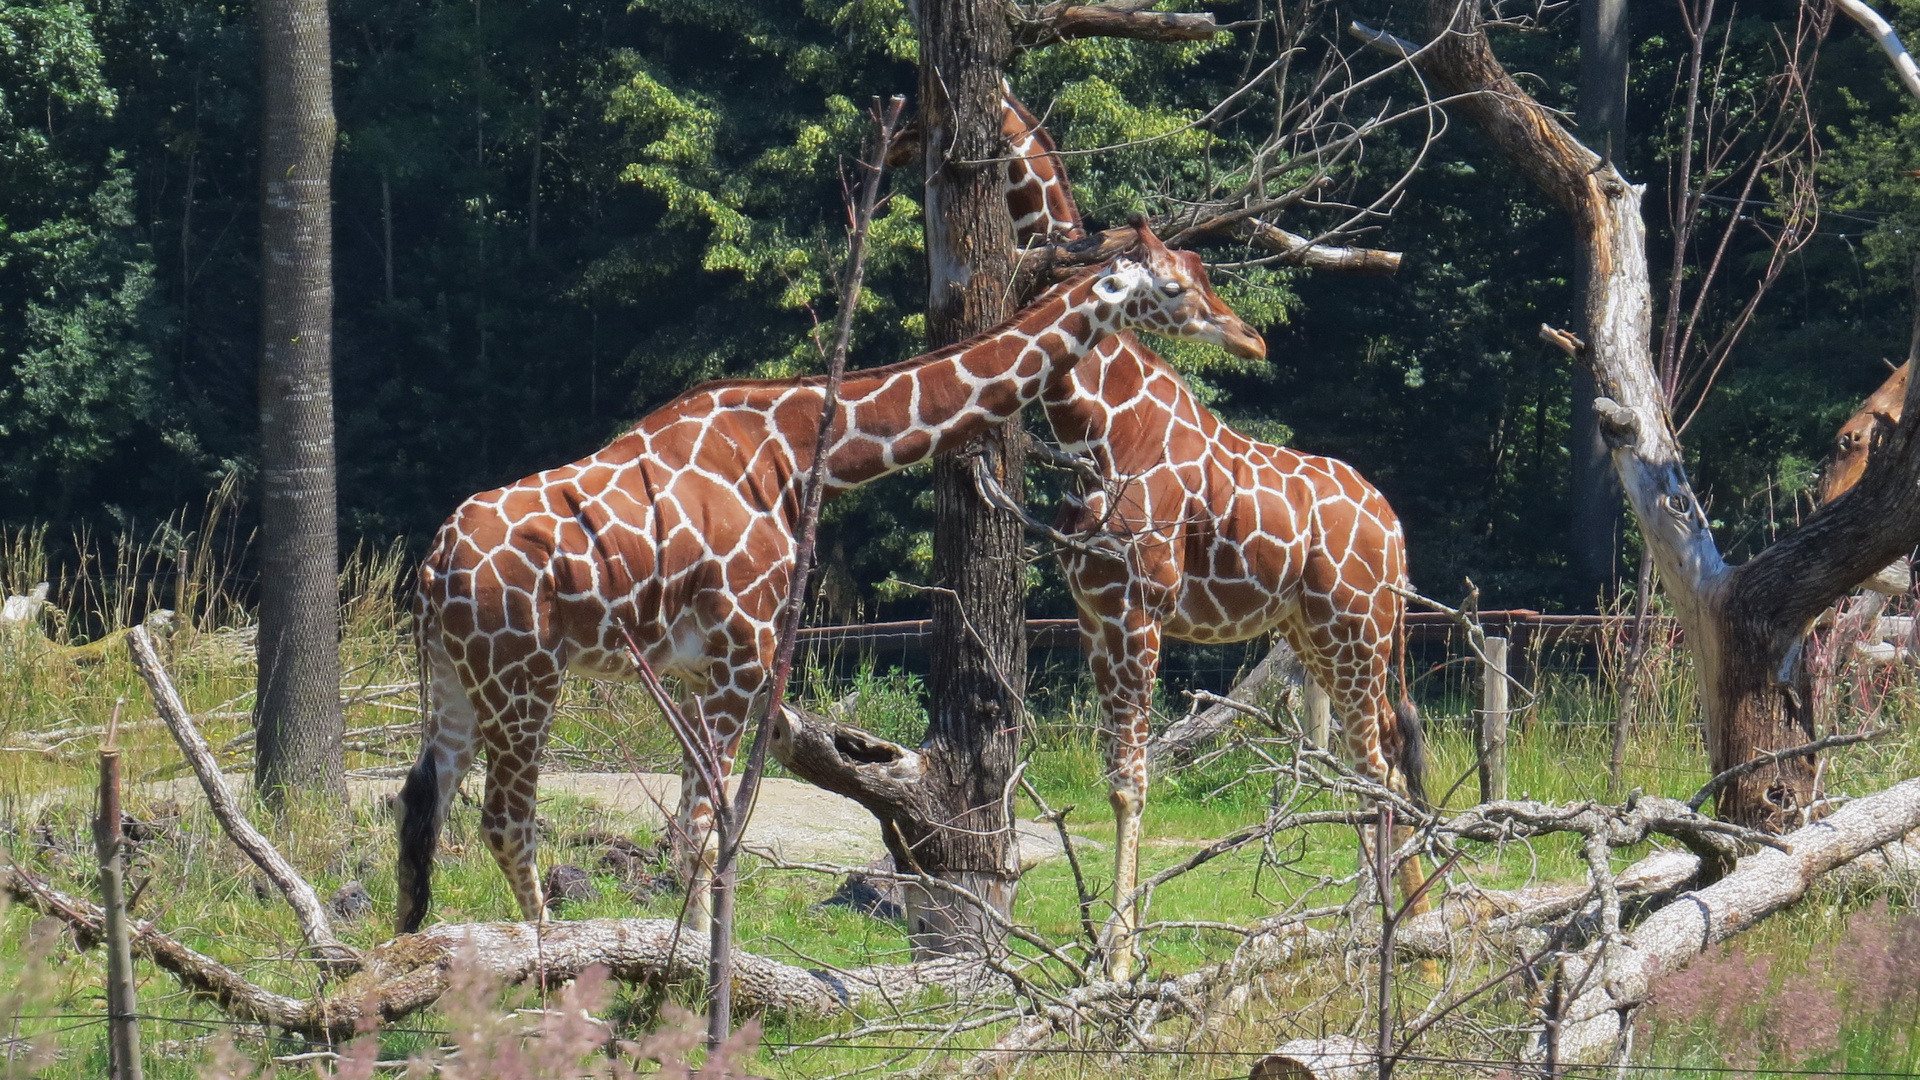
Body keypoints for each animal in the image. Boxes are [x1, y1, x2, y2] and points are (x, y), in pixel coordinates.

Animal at [391, 220, 1267, 933]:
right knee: (505, 819)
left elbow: (701, 823)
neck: (799, 449)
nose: (1251, 338)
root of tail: (435, 564)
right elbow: (708, 827)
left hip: (456, 677)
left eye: (1202, 269)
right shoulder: (741, 648)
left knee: (420, 803)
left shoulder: (702, 665)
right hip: (524, 674)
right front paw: (696, 980)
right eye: (1176, 286)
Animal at [990, 94, 1428, 976]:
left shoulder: (1140, 611)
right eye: (1176, 281)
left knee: (1377, 769)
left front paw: (1118, 966)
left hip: (1358, 634)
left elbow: (1135, 781)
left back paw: (1392, 936)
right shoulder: (1094, 615)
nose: (1251, 338)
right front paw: (1107, 954)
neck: (1097, 424)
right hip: (1322, 638)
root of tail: (1397, 535)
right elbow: (1114, 777)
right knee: (1378, 765)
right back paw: (1407, 935)